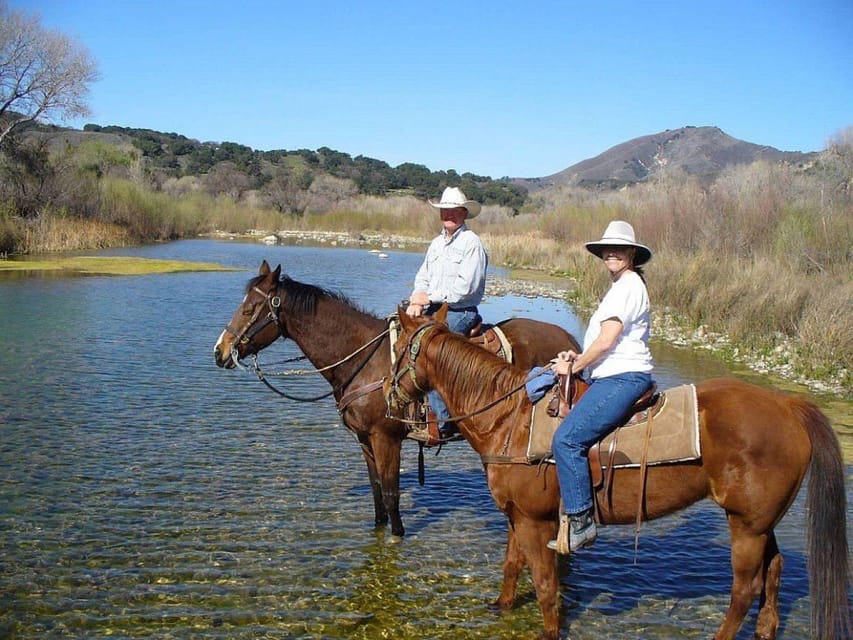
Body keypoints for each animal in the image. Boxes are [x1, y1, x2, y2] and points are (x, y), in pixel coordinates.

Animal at [211, 260, 580, 536]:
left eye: (251, 309)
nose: (220, 352)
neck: (363, 360)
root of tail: (570, 341)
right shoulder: (364, 438)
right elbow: (376, 493)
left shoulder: (386, 438)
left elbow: (391, 495)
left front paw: (397, 536)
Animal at [388, 304, 852, 640]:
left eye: (396, 353)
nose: (390, 398)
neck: (509, 418)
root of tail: (788, 405)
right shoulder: (518, 517)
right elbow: (511, 565)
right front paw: (501, 607)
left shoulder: (536, 522)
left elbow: (544, 583)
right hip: (760, 522)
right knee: (773, 571)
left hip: (746, 526)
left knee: (745, 589)